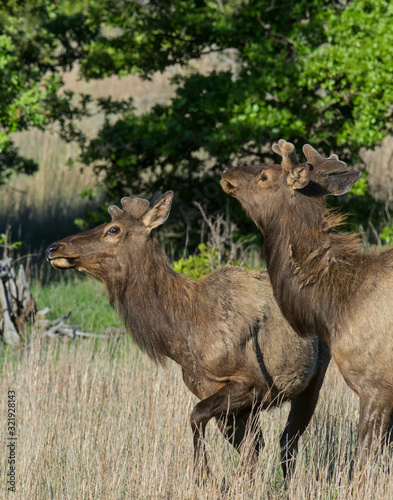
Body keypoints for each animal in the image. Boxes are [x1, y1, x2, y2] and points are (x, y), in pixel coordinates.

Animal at [44, 190, 330, 480]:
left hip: (313, 380)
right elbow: (246, 446)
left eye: (113, 229)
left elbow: (196, 416)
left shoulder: (252, 382)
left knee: (288, 442)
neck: (184, 337)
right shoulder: (210, 390)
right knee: (266, 443)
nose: (53, 248)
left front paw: (204, 476)